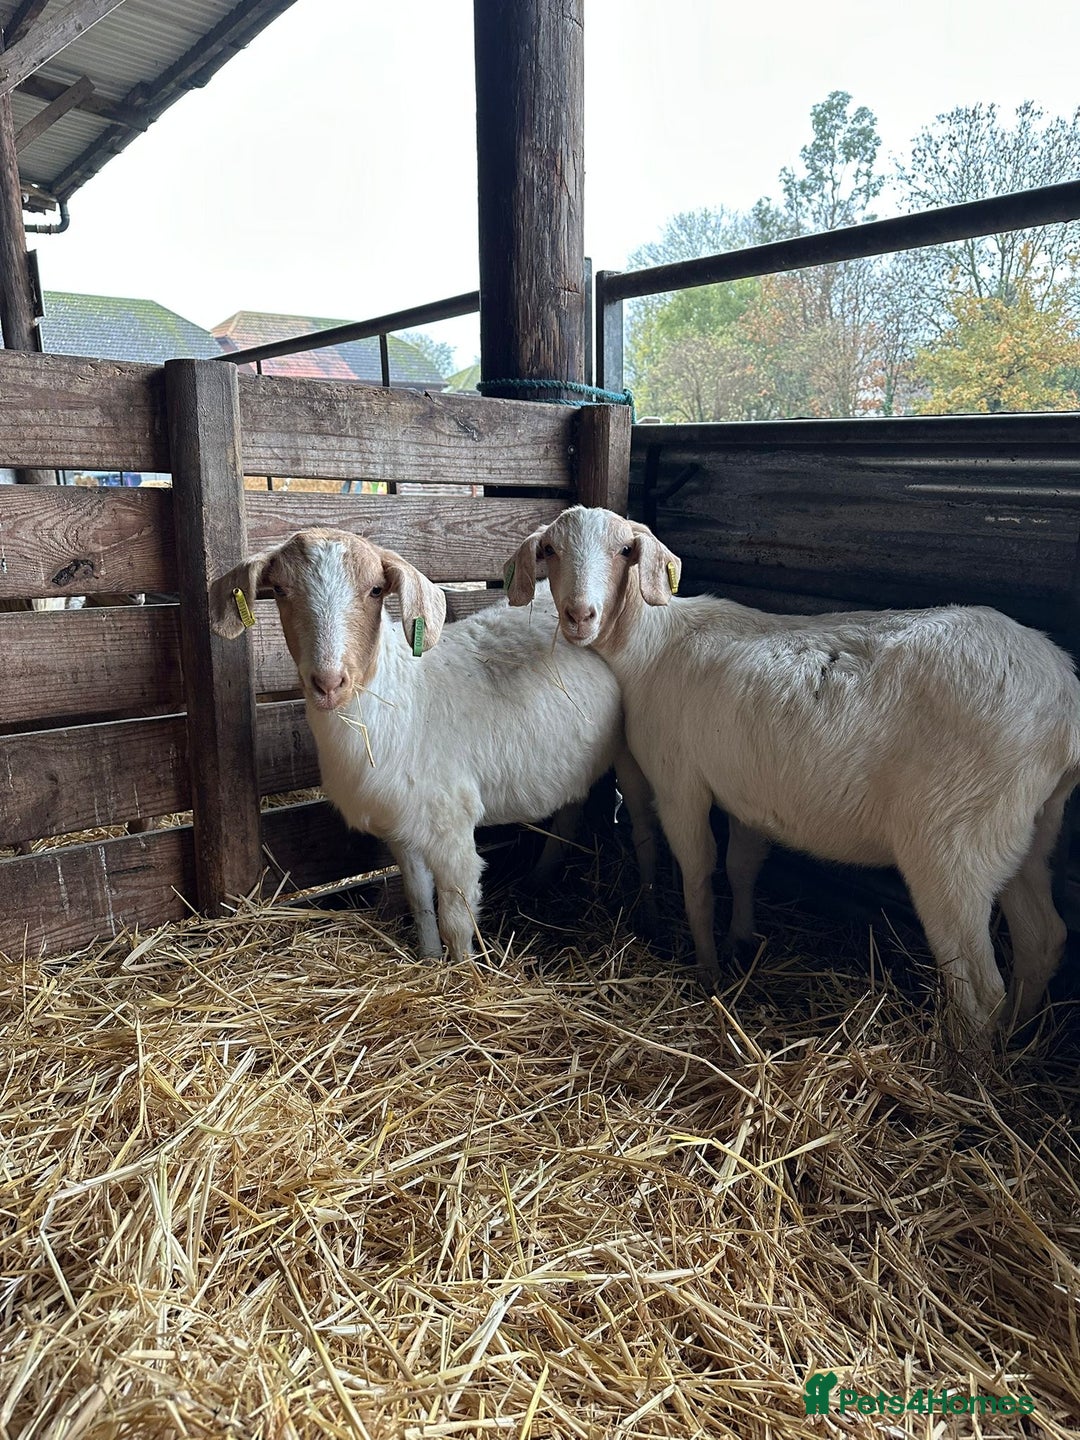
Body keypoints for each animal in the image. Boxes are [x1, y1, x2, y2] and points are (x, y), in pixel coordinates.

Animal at [210, 527, 655, 961]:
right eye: (280, 590)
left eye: (376, 590)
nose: (328, 682)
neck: (401, 696)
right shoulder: (402, 827)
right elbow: (420, 900)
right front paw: (427, 959)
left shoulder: (452, 827)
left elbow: (456, 919)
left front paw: (463, 971)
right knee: (571, 808)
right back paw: (541, 878)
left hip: (630, 753)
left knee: (642, 825)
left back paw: (648, 905)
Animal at [505, 505, 1080, 1036]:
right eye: (551, 549)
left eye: (625, 550)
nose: (579, 615)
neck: (651, 645)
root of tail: (1065, 705)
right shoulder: (747, 794)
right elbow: (742, 865)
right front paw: (739, 941)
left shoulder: (680, 783)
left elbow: (698, 874)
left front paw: (708, 969)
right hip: (1022, 831)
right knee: (1043, 939)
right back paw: (1018, 1036)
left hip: (953, 840)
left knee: (980, 990)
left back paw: (970, 1063)